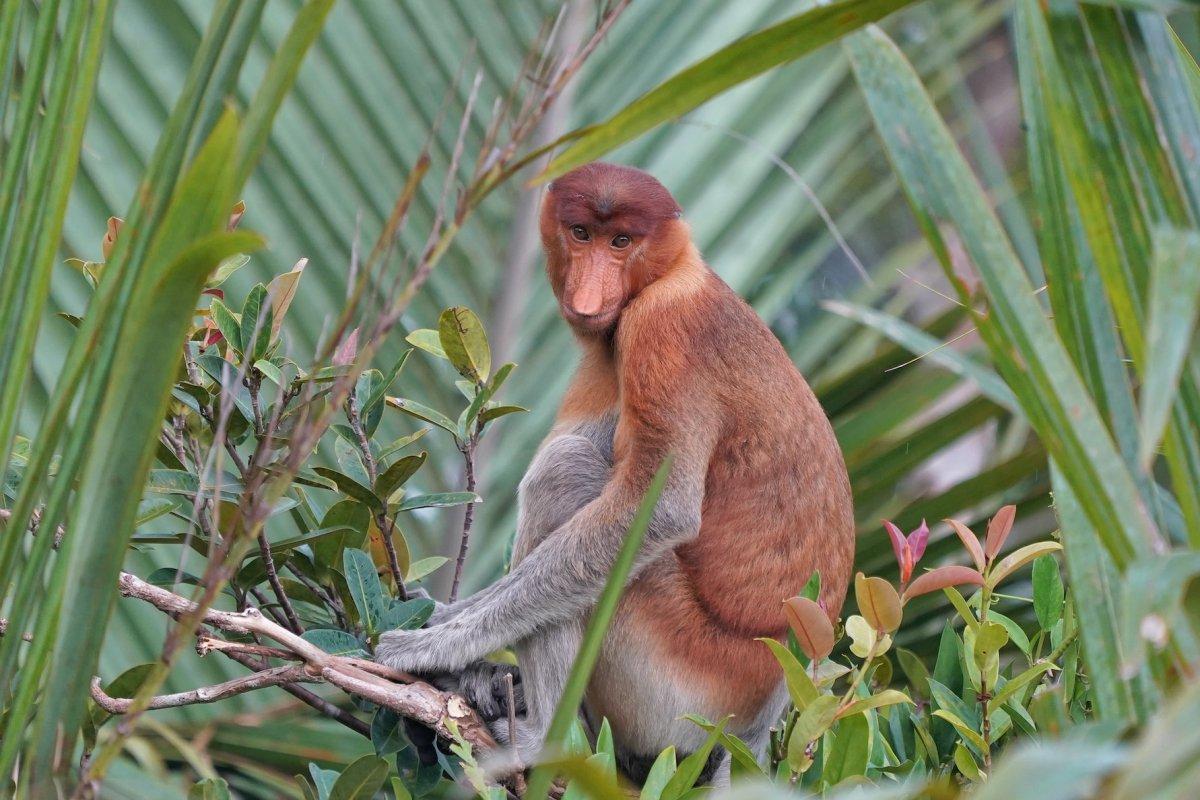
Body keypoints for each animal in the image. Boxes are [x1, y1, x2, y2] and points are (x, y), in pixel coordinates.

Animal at [379, 159, 859, 786]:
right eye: (581, 233)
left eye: (623, 242)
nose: (589, 294)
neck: (669, 276)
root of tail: (762, 719)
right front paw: (440, 617)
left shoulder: (662, 335)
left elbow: (658, 510)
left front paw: (432, 647)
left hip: (682, 681)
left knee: (562, 476)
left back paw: (541, 740)